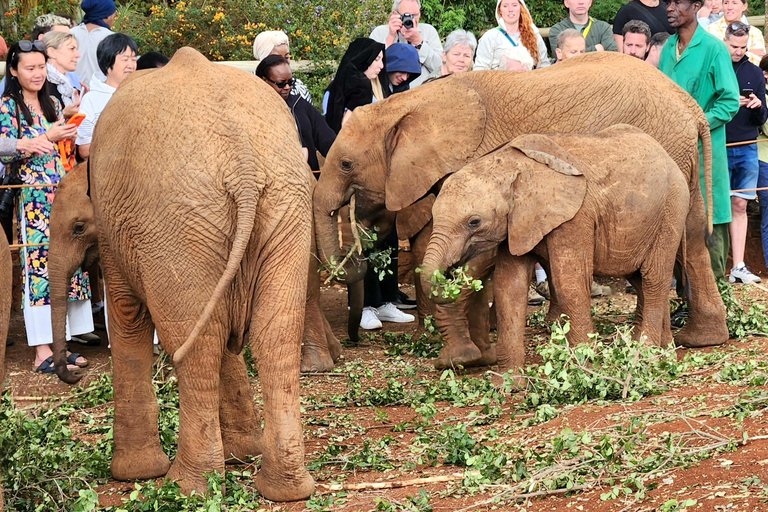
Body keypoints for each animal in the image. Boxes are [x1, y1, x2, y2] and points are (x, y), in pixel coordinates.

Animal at [81, 48, 316, 500]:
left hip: (176, 220)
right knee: (273, 333)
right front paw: (242, 453)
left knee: (195, 341)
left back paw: (186, 488)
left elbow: (127, 314)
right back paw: (286, 489)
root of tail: (242, 161)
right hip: (284, 202)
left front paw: (134, 474)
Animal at [420, 126, 688, 376]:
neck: (510, 163)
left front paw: (585, 371)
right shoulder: (517, 224)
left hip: (672, 210)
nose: (450, 273)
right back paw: (663, 353)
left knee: (654, 278)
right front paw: (506, 384)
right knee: (640, 279)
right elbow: (509, 287)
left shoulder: (576, 216)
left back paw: (646, 356)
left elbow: (569, 281)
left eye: (474, 222)